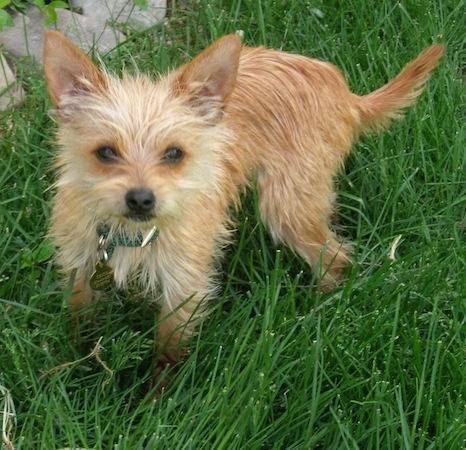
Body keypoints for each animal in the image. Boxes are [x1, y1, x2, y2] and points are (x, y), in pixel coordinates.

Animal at [41, 29, 442, 380]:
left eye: (174, 153)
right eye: (106, 152)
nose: (140, 198)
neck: (133, 233)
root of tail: (343, 92)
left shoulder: (185, 284)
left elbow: (170, 344)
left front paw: (158, 394)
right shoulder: (80, 264)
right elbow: (79, 314)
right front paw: (78, 362)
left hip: (287, 205)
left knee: (336, 256)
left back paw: (320, 310)